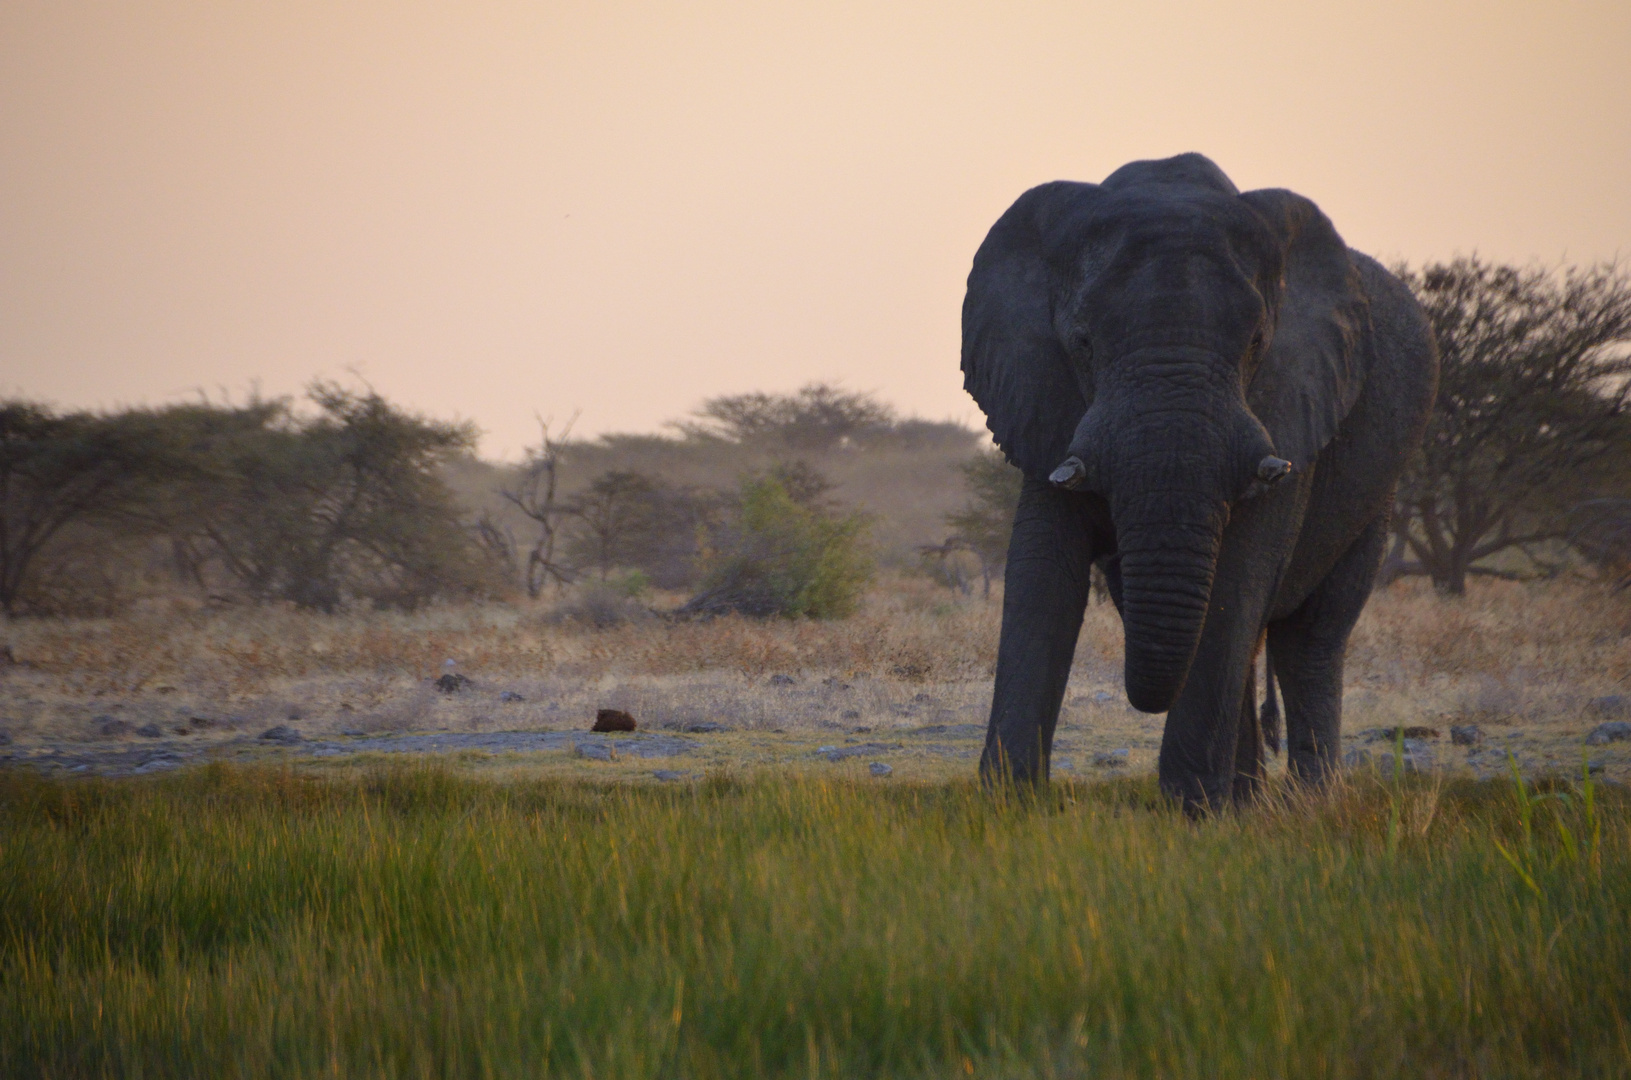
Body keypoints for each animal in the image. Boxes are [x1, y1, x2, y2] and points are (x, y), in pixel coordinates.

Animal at [959, 154, 1435, 812]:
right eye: (1083, 343)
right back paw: (1247, 799)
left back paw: (1303, 804)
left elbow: (1239, 571)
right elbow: (1042, 568)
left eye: (1257, 343)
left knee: (1311, 637)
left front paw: (1191, 809)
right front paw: (1007, 805)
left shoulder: (1293, 399)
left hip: (1376, 493)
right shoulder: (1042, 393)